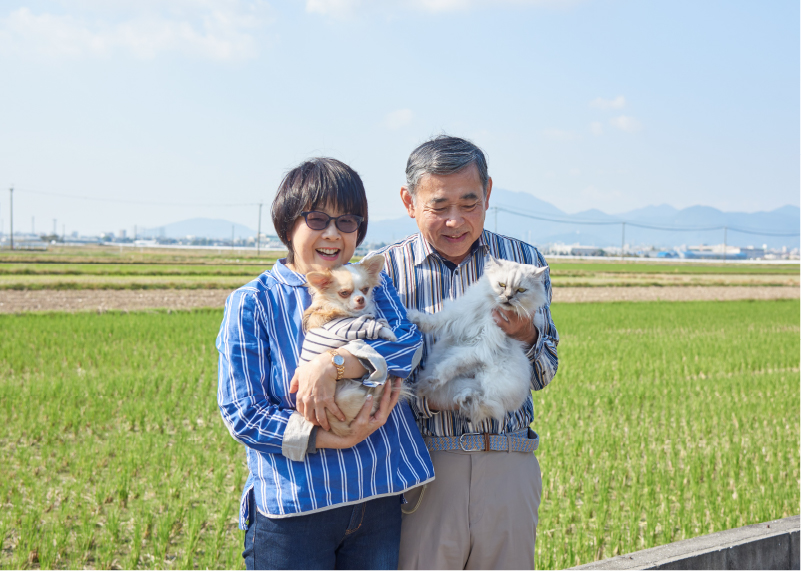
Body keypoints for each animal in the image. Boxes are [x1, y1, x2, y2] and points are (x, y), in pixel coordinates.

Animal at [406, 260, 552, 424]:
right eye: (502, 285)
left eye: (521, 290)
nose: (508, 297)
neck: (489, 314)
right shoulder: (460, 316)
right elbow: (434, 320)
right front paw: (413, 318)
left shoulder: (482, 347)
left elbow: (452, 364)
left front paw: (436, 377)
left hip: (494, 382)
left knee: (486, 403)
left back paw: (465, 398)